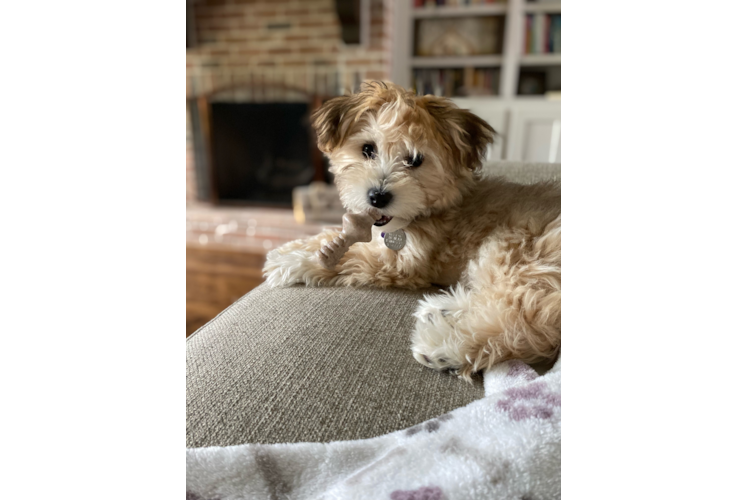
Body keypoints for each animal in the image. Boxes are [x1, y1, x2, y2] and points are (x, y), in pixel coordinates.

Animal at [264, 81, 560, 378]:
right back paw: (442, 310)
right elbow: (337, 237)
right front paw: (292, 247)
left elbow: (351, 256)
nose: (377, 197)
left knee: (527, 319)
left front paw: (293, 261)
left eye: (415, 160)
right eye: (368, 149)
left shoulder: (401, 261)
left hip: (517, 249)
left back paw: (444, 346)